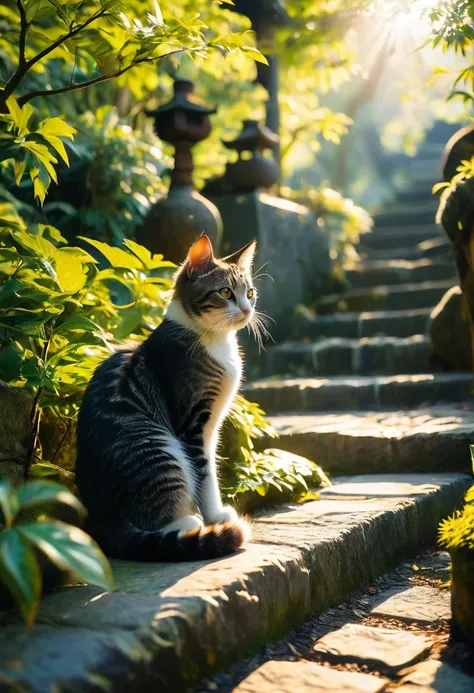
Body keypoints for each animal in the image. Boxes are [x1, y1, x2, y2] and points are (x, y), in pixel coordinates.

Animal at [75, 235, 260, 560]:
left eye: (249, 293)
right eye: (225, 292)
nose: (247, 310)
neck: (214, 340)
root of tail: (101, 521)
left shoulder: (211, 428)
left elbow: (210, 468)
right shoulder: (192, 422)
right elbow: (204, 474)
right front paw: (215, 516)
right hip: (159, 447)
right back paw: (187, 523)